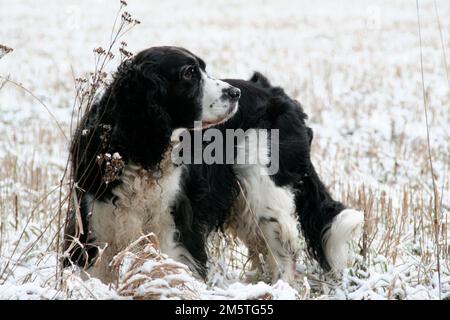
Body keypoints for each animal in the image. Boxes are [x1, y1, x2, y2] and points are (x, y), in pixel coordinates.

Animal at [63, 46, 364, 284]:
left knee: (283, 253)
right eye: (188, 74)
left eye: (204, 70)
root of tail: (274, 91)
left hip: (263, 189)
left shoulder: (176, 223)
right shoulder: (94, 221)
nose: (235, 93)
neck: (140, 151)